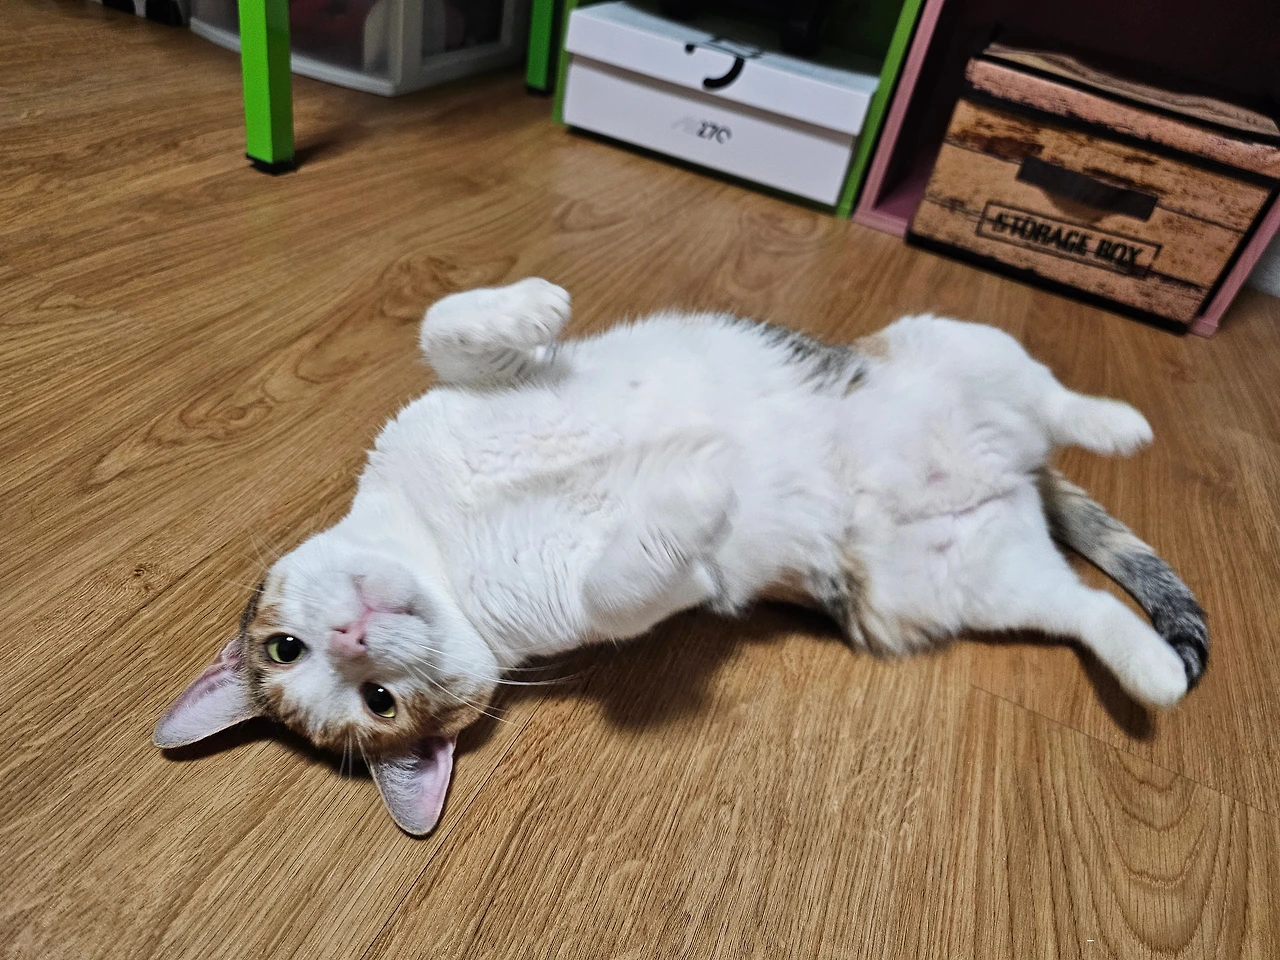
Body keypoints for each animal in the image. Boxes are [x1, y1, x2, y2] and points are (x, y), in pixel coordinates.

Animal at [154, 278, 1208, 836]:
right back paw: (1154, 667)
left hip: (947, 343)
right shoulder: (606, 604)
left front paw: (530, 308)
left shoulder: (449, 401)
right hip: (959, 581)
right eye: (376, 704)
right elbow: (630, 581)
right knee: (1087, 606)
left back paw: (1116, 422)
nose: (353, 635)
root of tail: (1015, 474)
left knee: (1044, 395)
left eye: (283, 646)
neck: (446, 548)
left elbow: (445, 327)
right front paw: (700, 490)